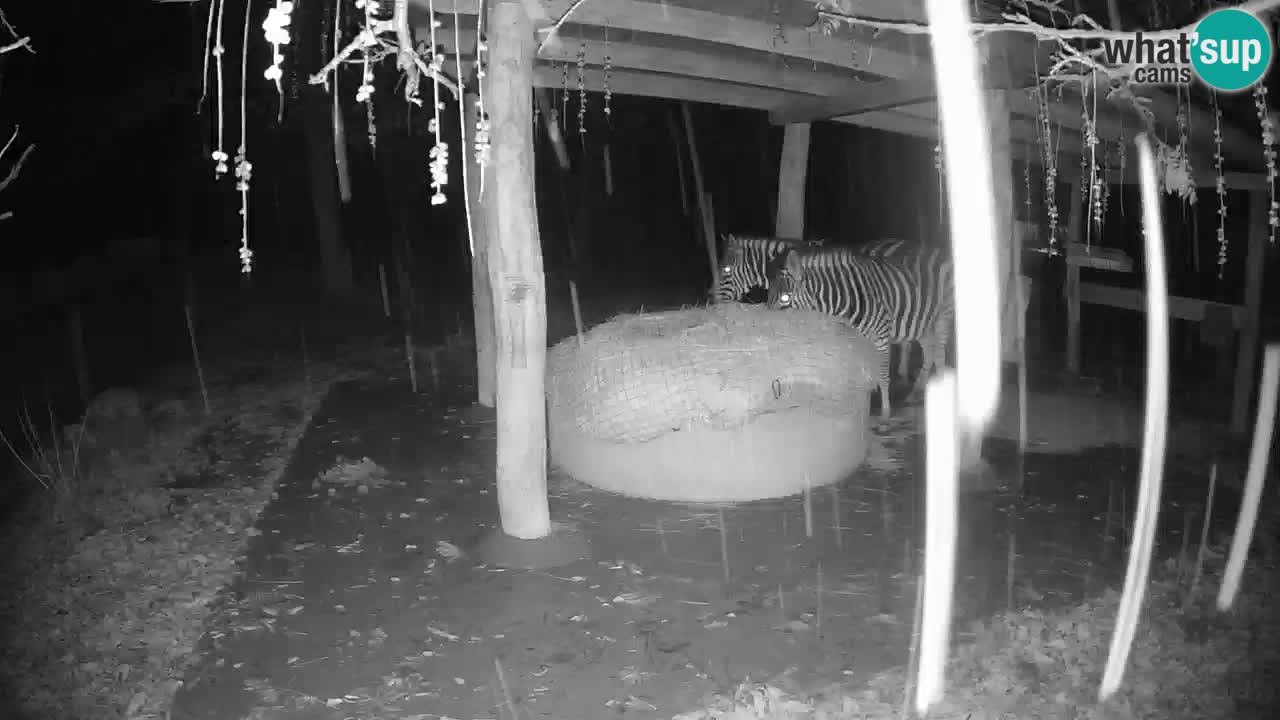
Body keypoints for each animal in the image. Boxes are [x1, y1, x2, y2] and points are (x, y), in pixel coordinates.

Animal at [762, 243, 957, 417]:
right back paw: (916, 391)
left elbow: (883, 375)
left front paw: (885, 413)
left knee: (939, 355)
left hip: (943, 316)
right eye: (768, 295)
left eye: (785, 298)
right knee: (929, 352)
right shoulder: (860, 338)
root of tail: (939, 250)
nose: (766, 325)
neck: (846, 300)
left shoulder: (882, 337)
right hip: (922, 323)